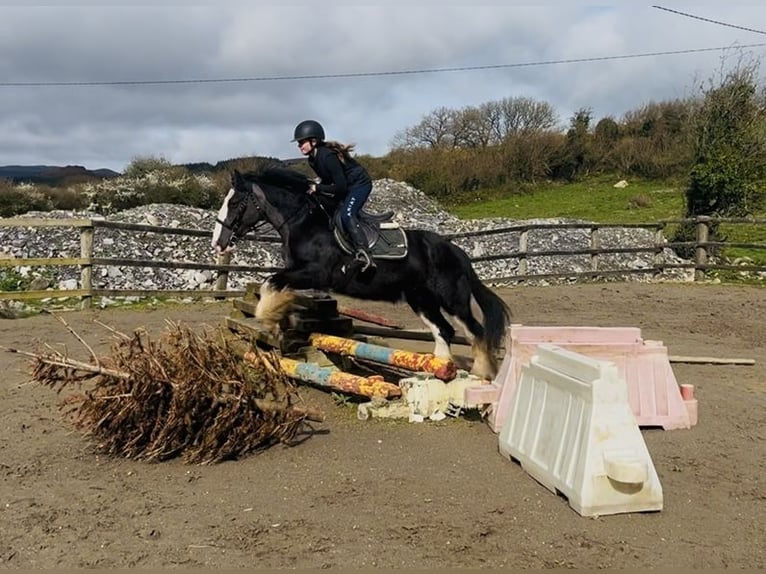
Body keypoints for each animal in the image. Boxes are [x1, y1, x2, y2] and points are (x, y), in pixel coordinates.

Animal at [212, 167, 511, 379]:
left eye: (235, 203)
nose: (218, 242)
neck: (303, 222)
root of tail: (457, 252)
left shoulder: (316, 273)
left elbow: (271, 282)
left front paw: (270, 318)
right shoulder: (301, 273)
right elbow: (274, 284)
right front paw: (281, 316)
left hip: (451, 299)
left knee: (475, 330)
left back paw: (483, 372)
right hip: (421, 300)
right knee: (444, 330)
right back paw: (438, 368)